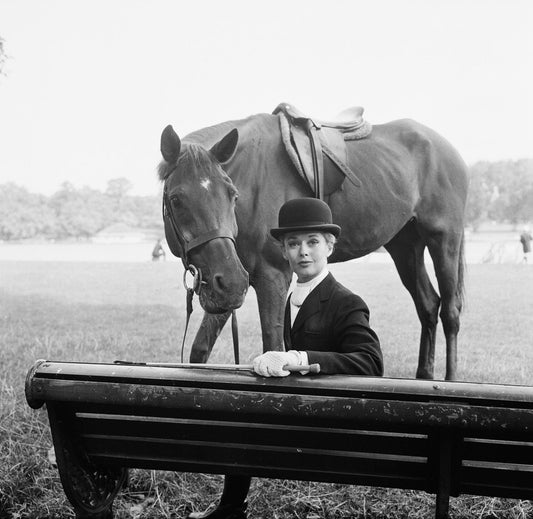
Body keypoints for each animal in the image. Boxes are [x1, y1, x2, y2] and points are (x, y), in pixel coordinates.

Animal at [158, 106, 466, 382]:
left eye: (232, 194)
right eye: (176, 200)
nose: (231, 281)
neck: (252, 177)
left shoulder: (270, 276)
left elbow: (272, 345)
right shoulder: (230, 280)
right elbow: (200, 350)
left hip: (444, 239)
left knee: (450, 312)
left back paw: (451, 380)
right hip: (405, 247)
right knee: (428, 305)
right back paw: (425, 376)